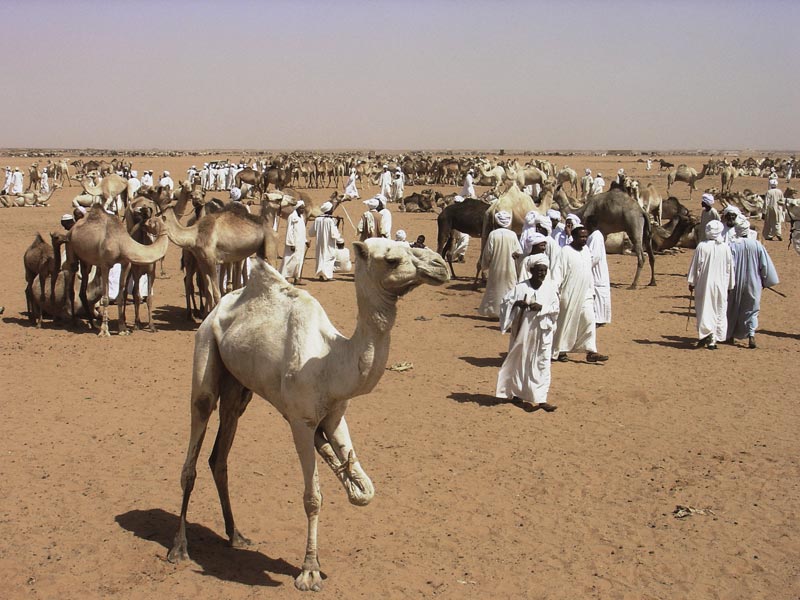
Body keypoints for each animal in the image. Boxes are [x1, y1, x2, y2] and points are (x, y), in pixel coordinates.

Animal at [62, 205, 170, 336]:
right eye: (151, 221)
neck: (121, 242)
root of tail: (72, 229)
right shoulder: (104, 265)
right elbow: (105, 298)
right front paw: (104, 331)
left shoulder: (125, 264)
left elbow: (120, 296)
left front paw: (123, 329)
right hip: (70, 247)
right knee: (71, 280)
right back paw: (74, 322)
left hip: (86, 260)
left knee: (83, 287)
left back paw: (92, 324)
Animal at [167, 239, 449, 591]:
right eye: (392, 259)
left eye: (412, 244)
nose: (440, 265)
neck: (332, 362)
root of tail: (218, 308)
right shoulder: (300, 422)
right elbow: (312, 497)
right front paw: (309, 570)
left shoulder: (335, 417)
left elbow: (364, 489)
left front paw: (352, 480)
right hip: (205, 349)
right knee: (197, 433)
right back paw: (179, 547)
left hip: (239, 387)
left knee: (220, 454)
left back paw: (236, 535)